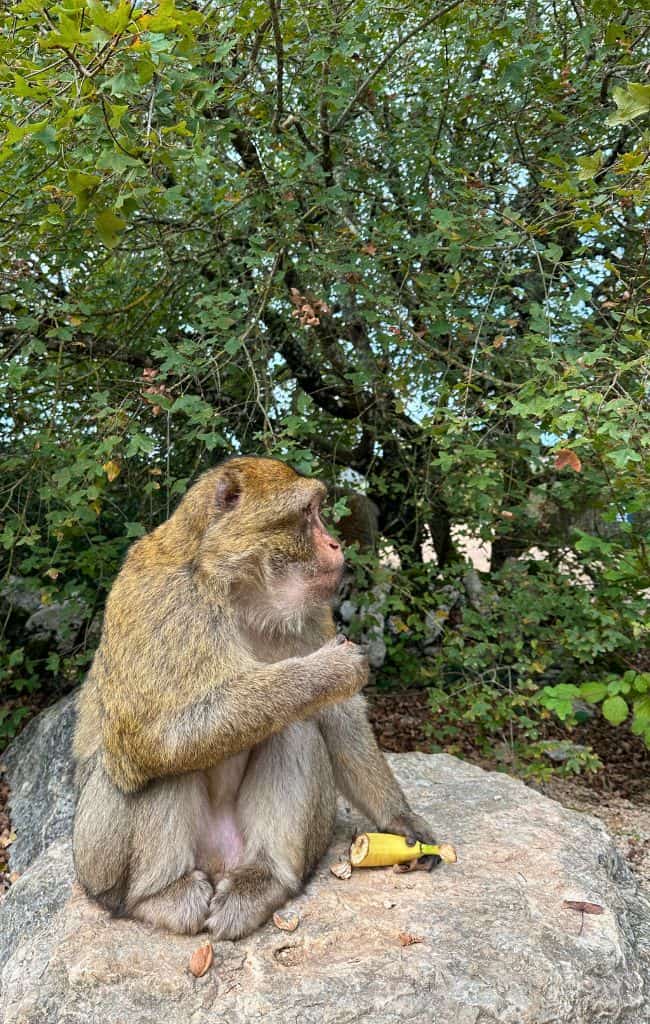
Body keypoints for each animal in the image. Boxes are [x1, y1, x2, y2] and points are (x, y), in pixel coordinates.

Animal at [72, 456, 437, 939]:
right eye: (308, 513)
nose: (336, 543)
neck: (236, 589)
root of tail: (219, 861)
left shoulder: (312, 612)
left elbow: (339, 720)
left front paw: (399, 818)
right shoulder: (158, 601)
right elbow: (146, 736)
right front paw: (324, 673)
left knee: (295, 727)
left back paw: (265, 879)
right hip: (95, 857)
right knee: (155, 762)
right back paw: (159, 895)